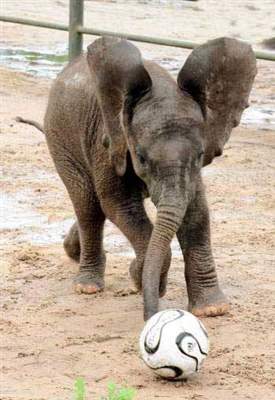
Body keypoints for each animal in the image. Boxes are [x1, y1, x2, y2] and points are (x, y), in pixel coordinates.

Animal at [21, 36, 256, 320]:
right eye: (141, 157)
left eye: (201, 154)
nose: (151, 314)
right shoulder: (108, 142)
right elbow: (118, 204)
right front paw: (139, 278)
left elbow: (197, 212)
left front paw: (212, 310)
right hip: (60, 140)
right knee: (88, 205)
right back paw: (87, 287)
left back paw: (72, 250)